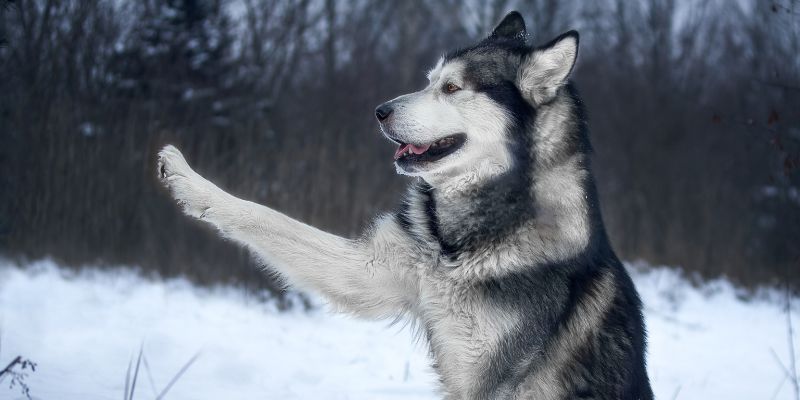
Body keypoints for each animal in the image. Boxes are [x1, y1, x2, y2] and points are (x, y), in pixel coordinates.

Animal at [156, 10, 648, 398]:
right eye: (429, 82)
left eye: (452, 88)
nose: (380, 111)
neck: (459, 248)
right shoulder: (374, 270)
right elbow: (263, 215)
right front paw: (189, 181)